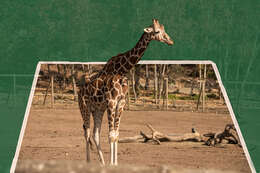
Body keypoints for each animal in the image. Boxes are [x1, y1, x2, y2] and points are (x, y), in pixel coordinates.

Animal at [77, 18, 175, 166]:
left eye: (164, 30)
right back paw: (88, 162)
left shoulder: (120, 103)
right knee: (87, 132)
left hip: (97, 109)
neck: (122, 70)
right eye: (157, 31)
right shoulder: (111, 102)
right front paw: (112, 164)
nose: (170, 41)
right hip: (84, 108)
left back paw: (102, 162)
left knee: (95, 133)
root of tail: (79, 90)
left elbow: (116, 134)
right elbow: (111, 135)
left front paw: (114, 164)